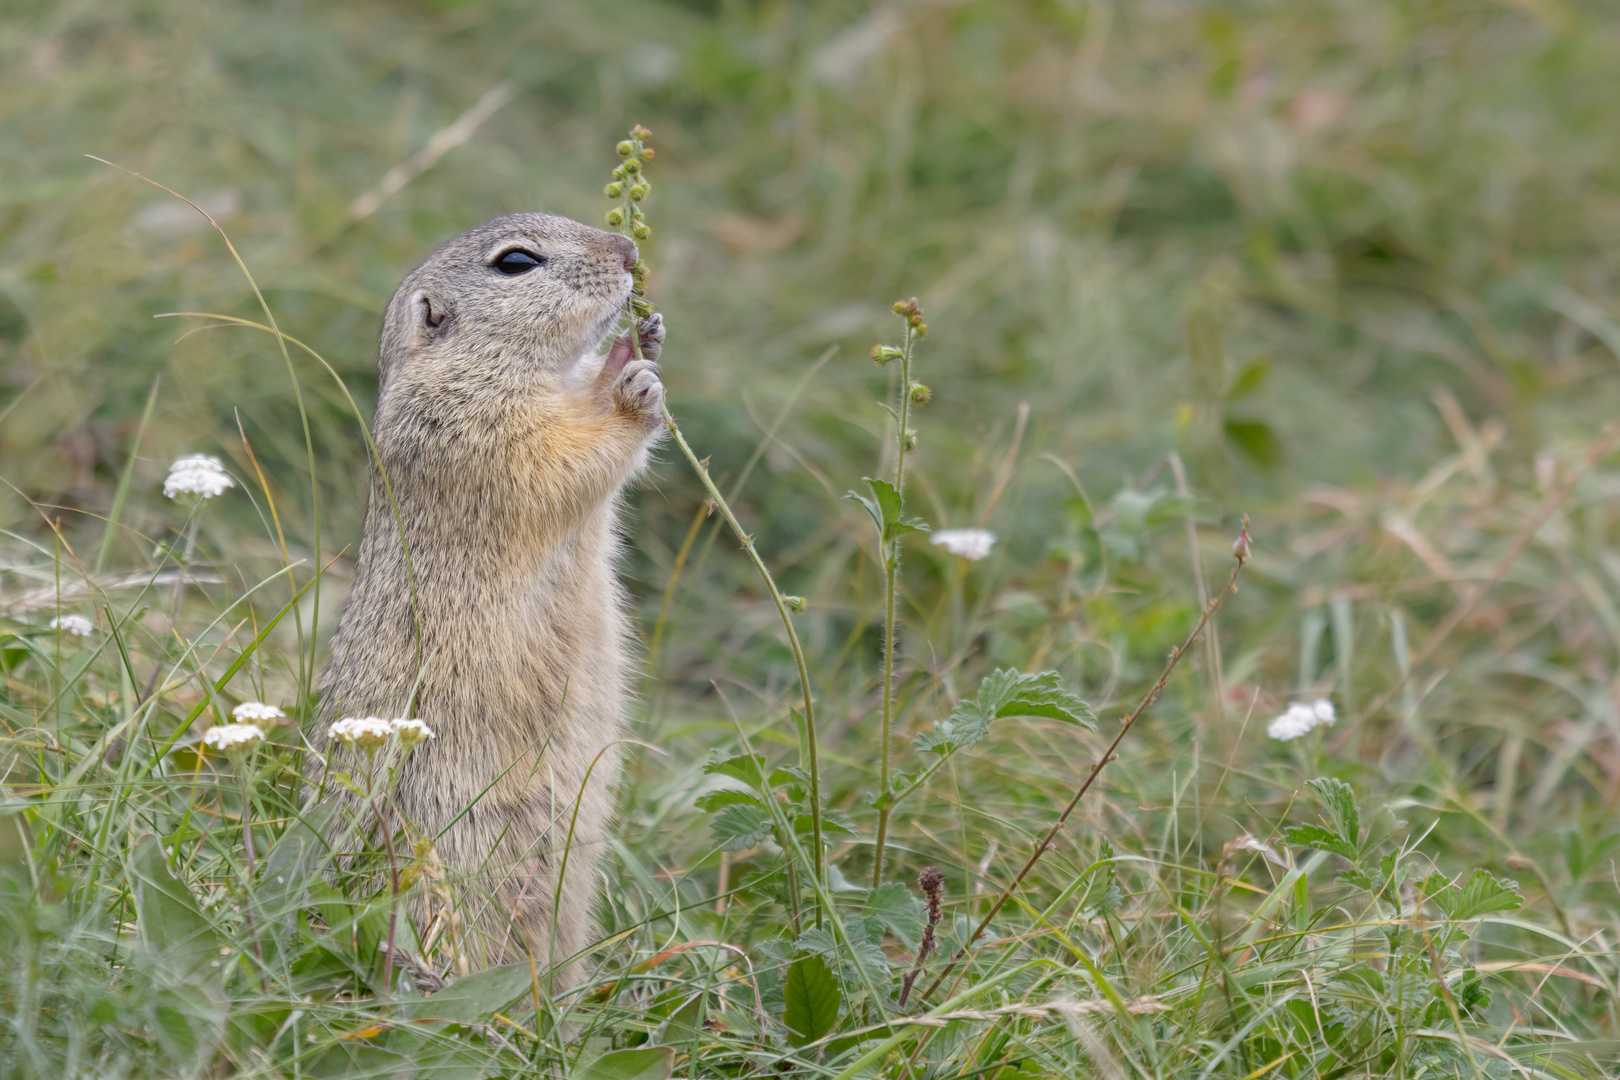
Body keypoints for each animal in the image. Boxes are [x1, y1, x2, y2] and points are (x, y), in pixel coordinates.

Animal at [315, 208, 664, 977]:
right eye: (516, 262)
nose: (629, 250)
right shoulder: (472, 429)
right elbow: (563, 458)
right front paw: (631, 389)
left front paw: (638, 342)